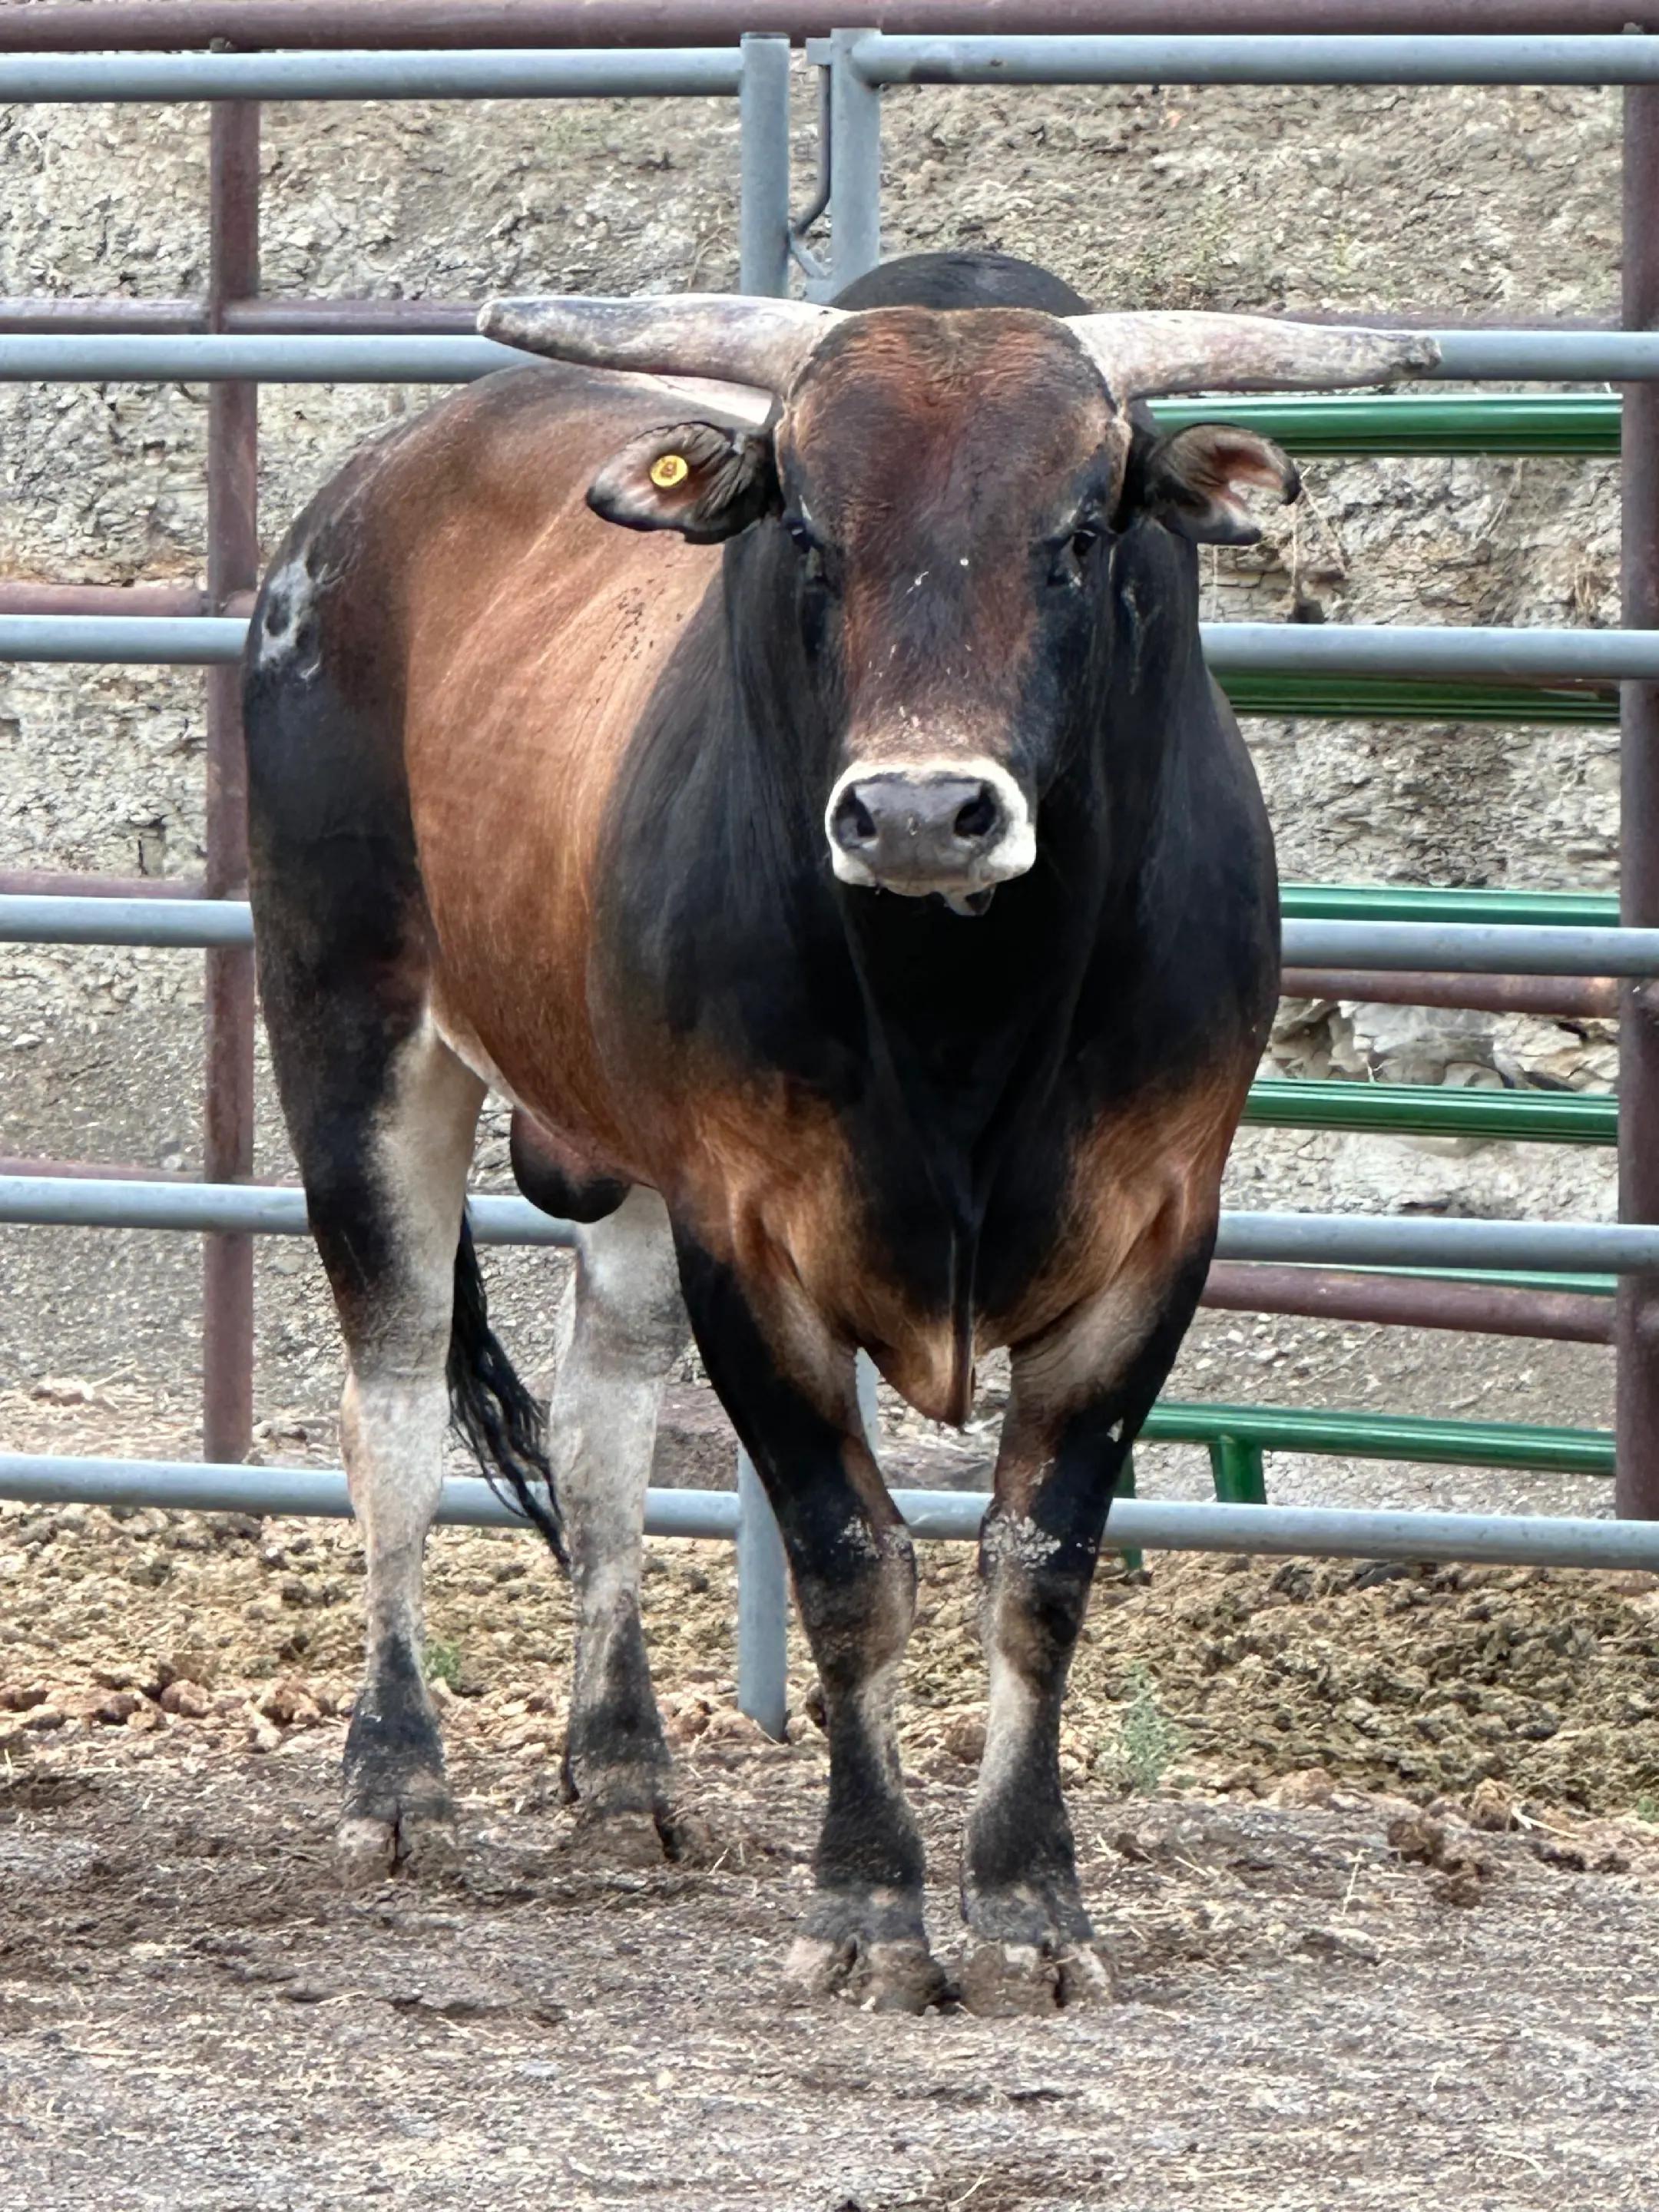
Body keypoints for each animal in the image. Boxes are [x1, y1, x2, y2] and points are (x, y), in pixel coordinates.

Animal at [244, 249, 1434, 2014]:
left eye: (1081, 532)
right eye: (808, 530)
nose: (923, 814)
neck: (969, 1024)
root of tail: (358, 500)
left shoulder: (1158, 1235)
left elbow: (1039, 1567)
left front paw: (1033, 1902)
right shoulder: (751, 1231)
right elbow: (848, 1564)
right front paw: (870, 1902)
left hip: (625, 1173)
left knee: (601, 1433)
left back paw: (625, 1772)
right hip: (347, 1034)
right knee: (390, 1406)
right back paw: (397, 1783)